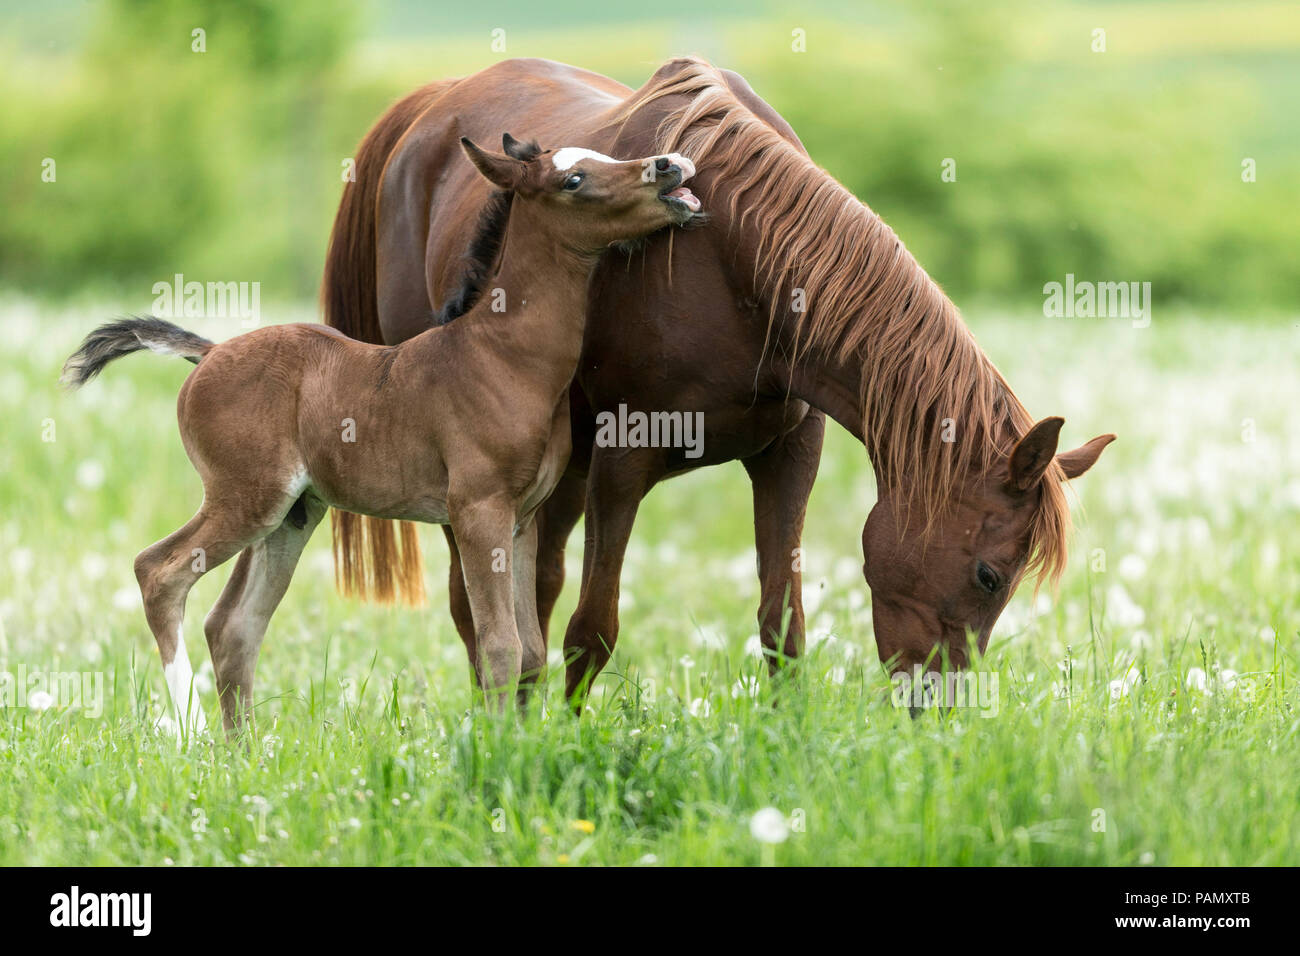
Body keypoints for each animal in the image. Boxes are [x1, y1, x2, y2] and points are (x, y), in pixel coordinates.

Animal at [63, 132, 702, 733]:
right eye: (573, 179)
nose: (668, 165)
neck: (503, 355)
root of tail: (211, 351)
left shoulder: (523, 519)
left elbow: (530, 652)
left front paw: (522, 746)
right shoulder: (478, 509)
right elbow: (500, 646)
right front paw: (498, 753)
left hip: (292, 515)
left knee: (232, 626)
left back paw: (242, 756)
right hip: (245, 499)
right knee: (159, 572)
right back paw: (191, 733)